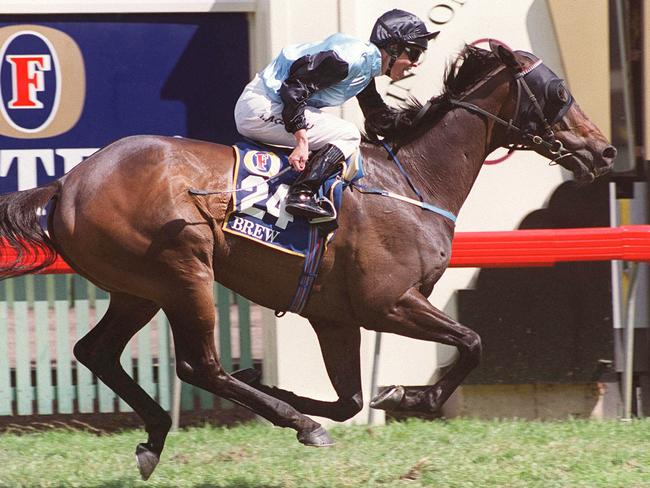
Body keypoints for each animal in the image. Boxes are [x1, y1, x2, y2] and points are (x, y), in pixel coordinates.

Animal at [0, 43, 612, 478]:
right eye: (558, 91)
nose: (604, 150)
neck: (411, 181)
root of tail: (67, 183)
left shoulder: (335, 316)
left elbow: (350, 399)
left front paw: (306, 393)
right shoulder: (388, 302)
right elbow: (472, 343)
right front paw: (409, 397)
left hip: (137, 288)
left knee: (96, 351)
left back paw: (158, 435)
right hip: (182, 271)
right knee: (201, 366)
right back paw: (295, 424)